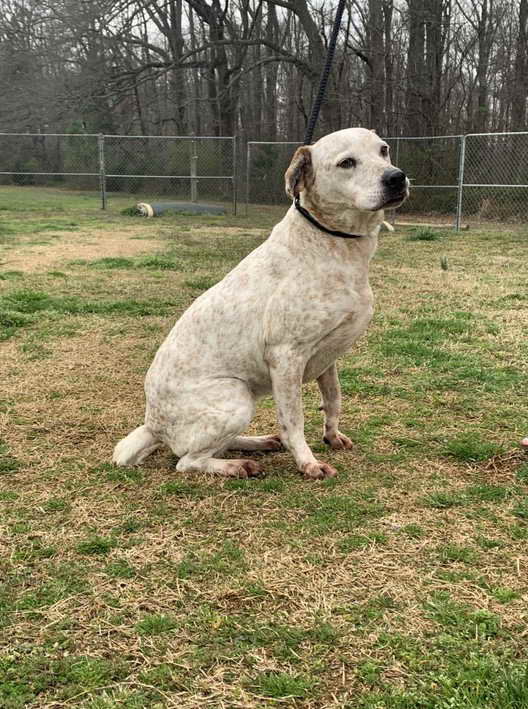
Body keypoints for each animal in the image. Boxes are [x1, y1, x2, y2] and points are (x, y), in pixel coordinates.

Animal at [113, 128, 410, 482]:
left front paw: (332, 436)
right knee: (188, 460)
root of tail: (152, 425)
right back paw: (237, 465)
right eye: (346, 163)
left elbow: (334, 400)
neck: (334, 247)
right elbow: (293, 421)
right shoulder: (287, 357)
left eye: (384, 150)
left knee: (215, 446)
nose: (397, 177)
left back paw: (259, 443)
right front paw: (307, 462)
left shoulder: (328, 356)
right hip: (236, 398)